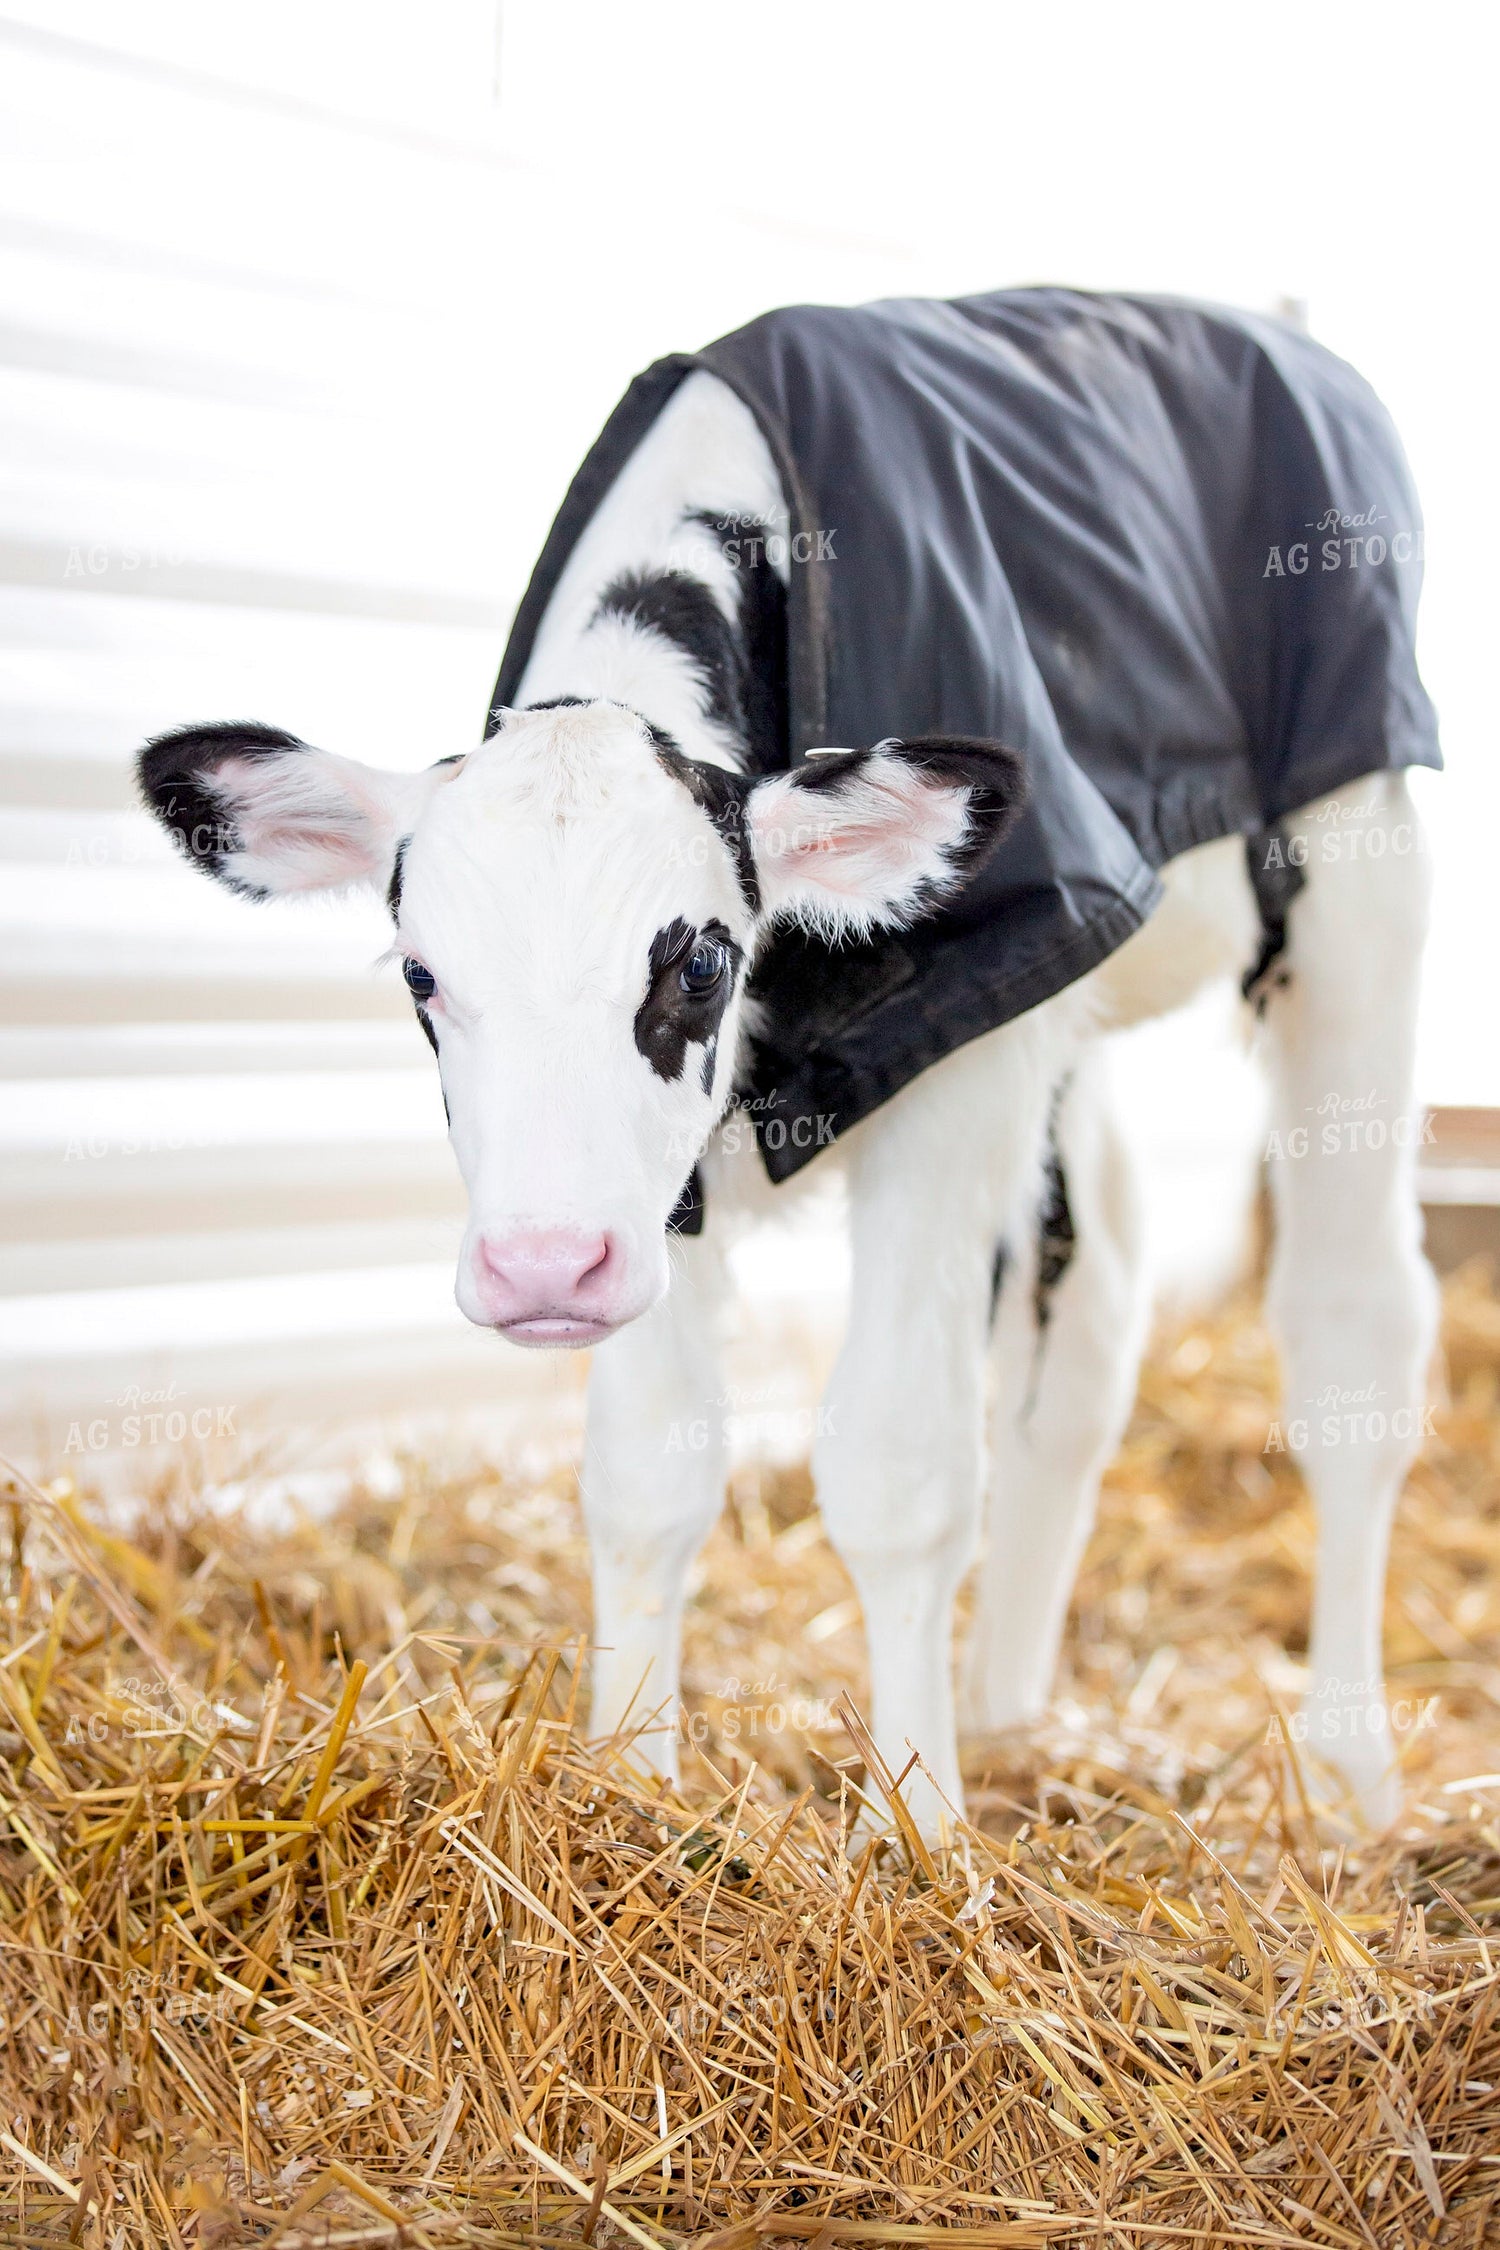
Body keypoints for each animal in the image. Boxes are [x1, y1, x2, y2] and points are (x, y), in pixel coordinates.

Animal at [137, 292, 1439, 1835]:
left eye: (700, 964)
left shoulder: (960, 1052)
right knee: (1095, 1309)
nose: (538, 1267)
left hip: (1357, 866)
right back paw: (1011, 1709)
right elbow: (644, 1475)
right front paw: (625, 1799)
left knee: (1353, 1327)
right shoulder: (668, 1183)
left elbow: (898, 1467)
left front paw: (920, 1835)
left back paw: (1351, 1769)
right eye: (419, 977)